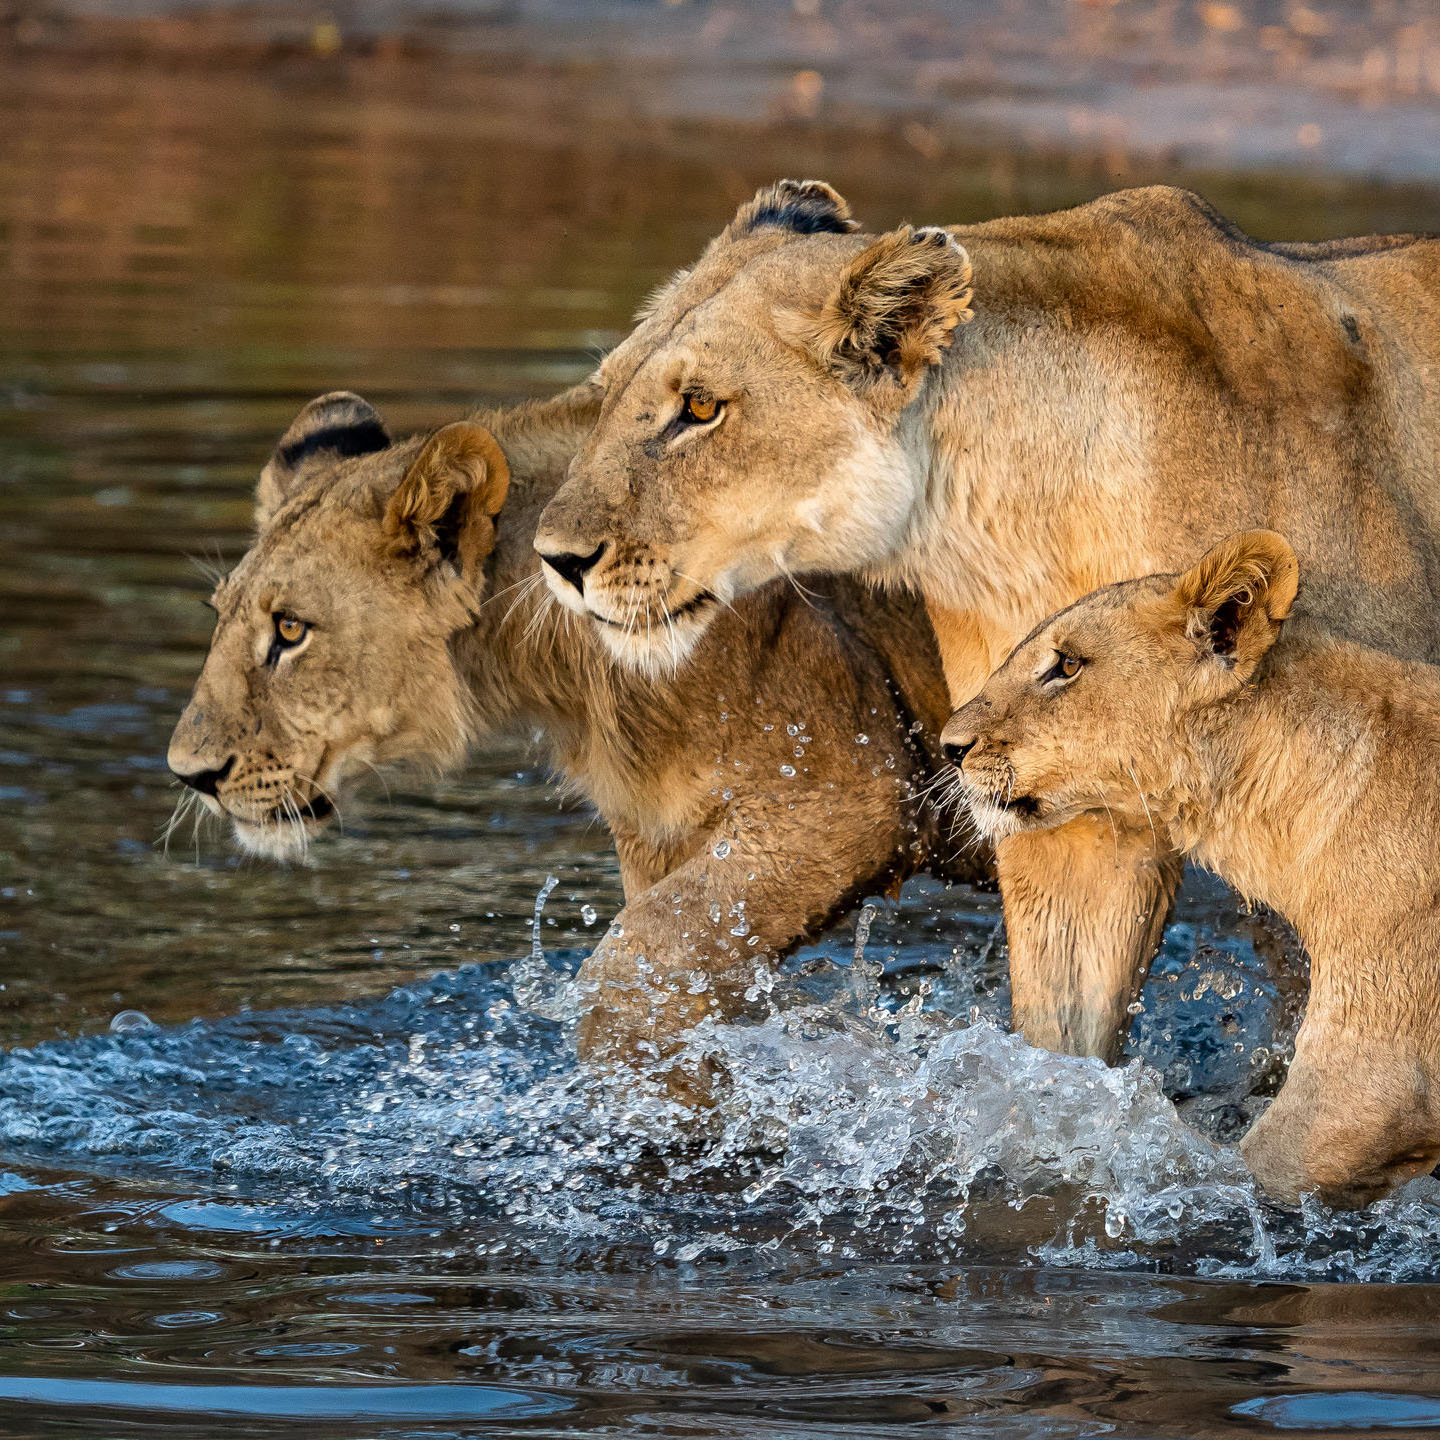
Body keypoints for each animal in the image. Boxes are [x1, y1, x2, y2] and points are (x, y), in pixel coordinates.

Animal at [171, 383, 979, 1088]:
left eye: (290, 630)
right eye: (220, 616)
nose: (189, 774)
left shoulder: (849, 799)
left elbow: (626, 968)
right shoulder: (662, 838)